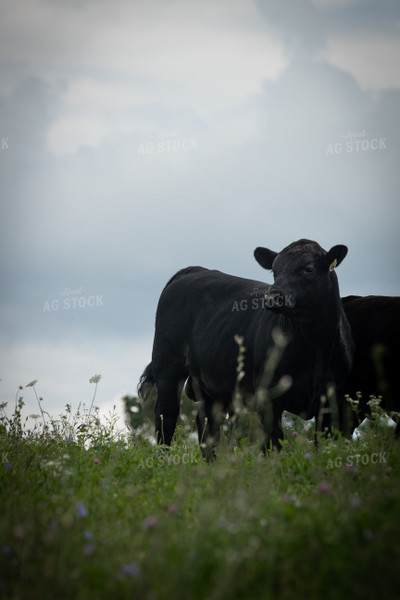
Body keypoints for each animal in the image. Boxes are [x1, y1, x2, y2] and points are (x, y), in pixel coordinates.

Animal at [138, 239, 354, 460]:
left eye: (308, 269)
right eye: (275, 271)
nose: (273, 298)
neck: (314, 346)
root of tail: (195, 270)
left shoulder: (333, 397)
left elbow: (324, 442)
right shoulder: (267, 395)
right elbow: (272, 442)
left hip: (213, 382)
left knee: (207, 421)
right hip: (167, 366)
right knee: (166, 415)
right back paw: (164, 460)